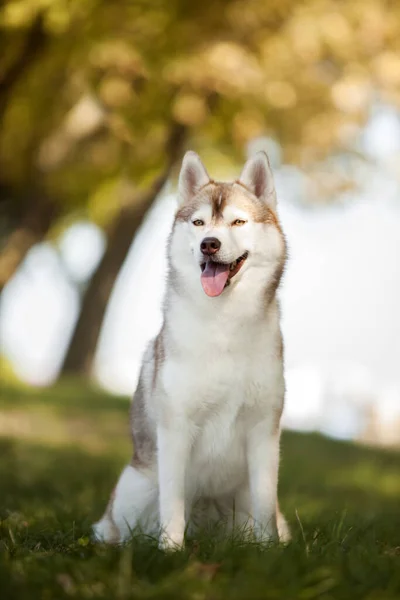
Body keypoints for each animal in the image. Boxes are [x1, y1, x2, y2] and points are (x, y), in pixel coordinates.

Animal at [92, 150, 290, 548]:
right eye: (198, 222)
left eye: (238, 221)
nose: (209, 243)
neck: (225, 322)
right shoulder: (176, 426)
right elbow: (173, 501)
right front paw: (170, 550)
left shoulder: (264, 428)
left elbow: (264, 502)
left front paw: (269, 551)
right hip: (134, 487)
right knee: (119, 528)